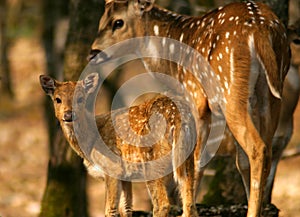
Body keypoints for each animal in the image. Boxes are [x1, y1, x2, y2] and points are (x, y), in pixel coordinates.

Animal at [40, 73, 199, 217]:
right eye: (57, 99)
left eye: (80, 98)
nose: (68, 115)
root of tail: (176, 116)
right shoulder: (125, 176)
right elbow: (126, 209)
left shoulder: (112, 168)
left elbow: (110, 210)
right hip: (188, 157)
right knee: (189, 203)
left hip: (152, 160)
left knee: (162, 204)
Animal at [89, 0, 290, 216]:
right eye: (100, 21)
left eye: (118, 22)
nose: (93, 52)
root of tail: (262, 29)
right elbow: (237, 161)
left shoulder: (196, 99)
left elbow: (196, 159)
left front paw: (188, 209)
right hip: (271, 96)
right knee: (266, 150)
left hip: (231, 91)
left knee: (257, 147)